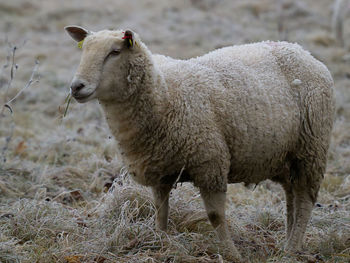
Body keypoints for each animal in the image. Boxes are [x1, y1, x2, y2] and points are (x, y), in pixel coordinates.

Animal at [64, 25, 334, 260]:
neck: (165, 94)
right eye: (84, 50)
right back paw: (289, 240)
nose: (76, 86)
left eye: (115, 52)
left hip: (312, 149)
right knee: (292, 199)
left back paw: (292, 247)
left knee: (305, 200)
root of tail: (302, 51)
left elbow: (215, 216)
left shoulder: (210, 163)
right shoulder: (160, 169)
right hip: (287, 157)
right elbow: (160, 210)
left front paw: (231, 254)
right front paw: (161, 241)